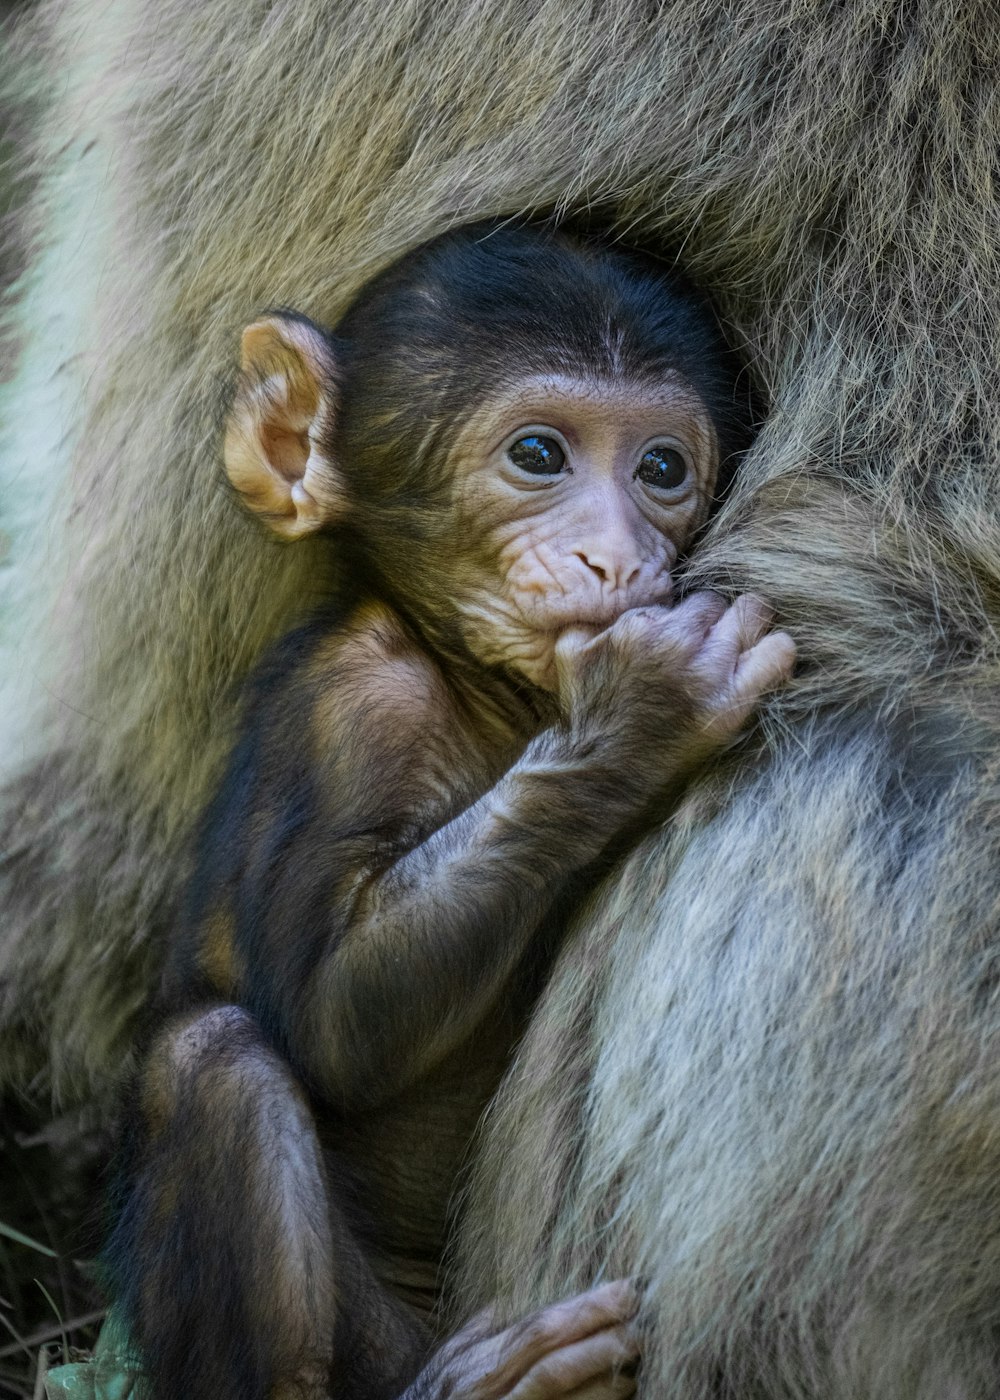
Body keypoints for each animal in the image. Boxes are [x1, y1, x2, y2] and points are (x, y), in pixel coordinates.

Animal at [111, 224, 795, 1394]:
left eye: (662, 469)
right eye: (539, 455)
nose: (618, 553)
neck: (475, 686)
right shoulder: (353, 718)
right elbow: (338, 1015)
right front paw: (638, 712)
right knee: (215, 1062)